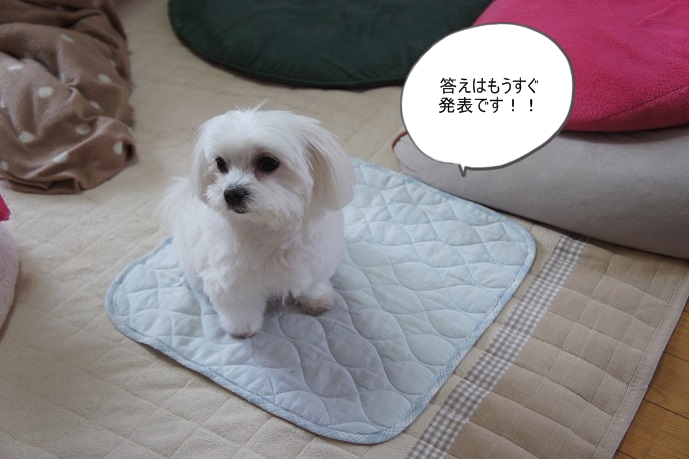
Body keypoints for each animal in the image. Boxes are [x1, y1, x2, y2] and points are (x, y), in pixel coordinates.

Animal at [161, 105, 355, 338]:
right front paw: (242, 328)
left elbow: (313, 284)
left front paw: (317, 301)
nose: (231, 193)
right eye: (220, 163)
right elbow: (239, 307)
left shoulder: (316, 260)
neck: (270, 228)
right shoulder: (231, 280)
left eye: (269, 162)